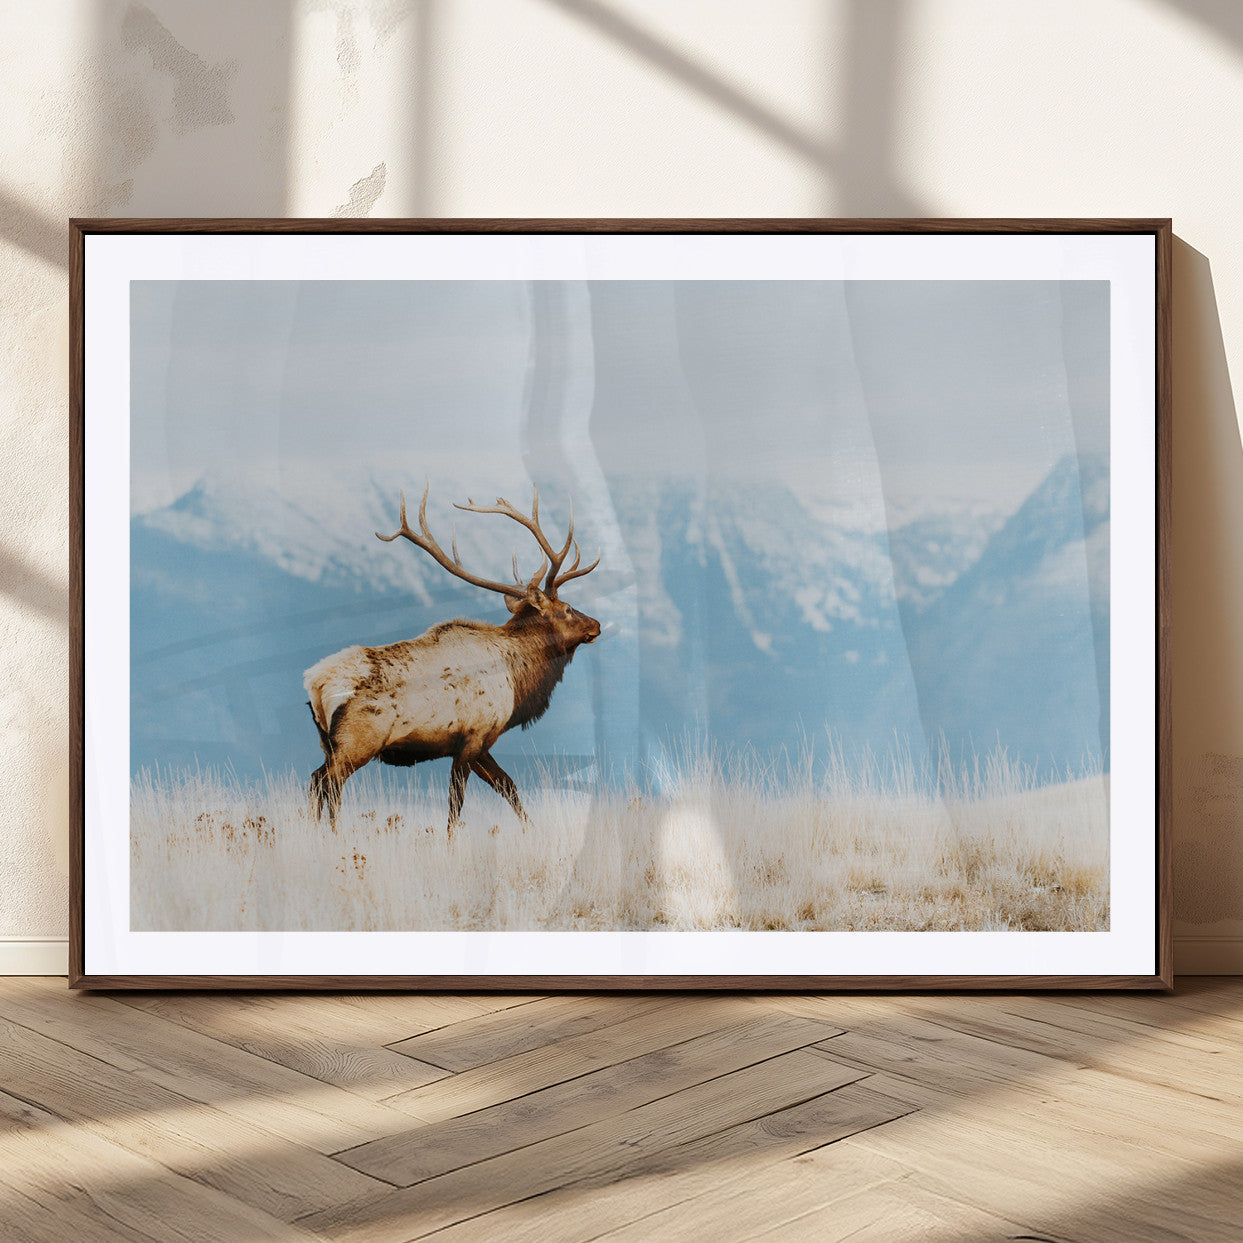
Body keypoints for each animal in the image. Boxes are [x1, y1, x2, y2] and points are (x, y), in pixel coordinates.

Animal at [303, 483, 601, 834]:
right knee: (327, 783)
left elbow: (509, 787)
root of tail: (315, 684)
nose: (596, 625)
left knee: (318, 780)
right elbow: (456, 805)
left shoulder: (481, 744)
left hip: (329, 744)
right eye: (567, 609)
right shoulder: (473, 736)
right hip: (357, 742)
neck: (518, 679)